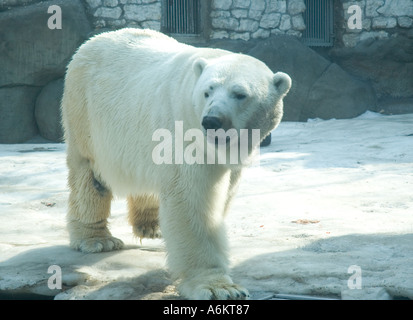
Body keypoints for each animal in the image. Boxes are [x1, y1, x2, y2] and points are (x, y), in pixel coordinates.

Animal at [61, 28, 290, 300]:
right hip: (85, 113)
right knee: (89, 174)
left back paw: (152, 226)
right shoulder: (185, 133)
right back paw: (97, 239)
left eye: (240, 94)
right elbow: (193, 201)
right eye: (208, 91)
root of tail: (92, 41)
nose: (211, 121)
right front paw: (217, 287)